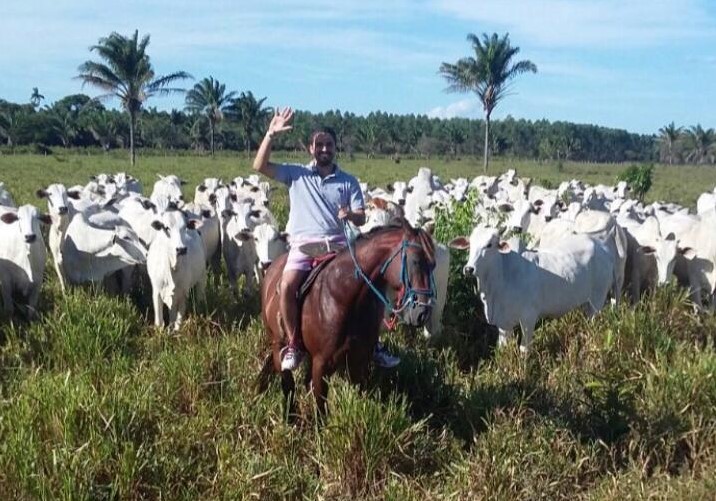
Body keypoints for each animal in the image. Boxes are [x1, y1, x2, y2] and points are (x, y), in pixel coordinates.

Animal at [258, 218, 436, 414]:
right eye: (416, 261)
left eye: (433, 264)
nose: (423, 313)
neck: (343, 296)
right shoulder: (321, 365)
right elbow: (321, 409)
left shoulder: (359, 362)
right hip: (278, 344)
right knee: (288, 384)